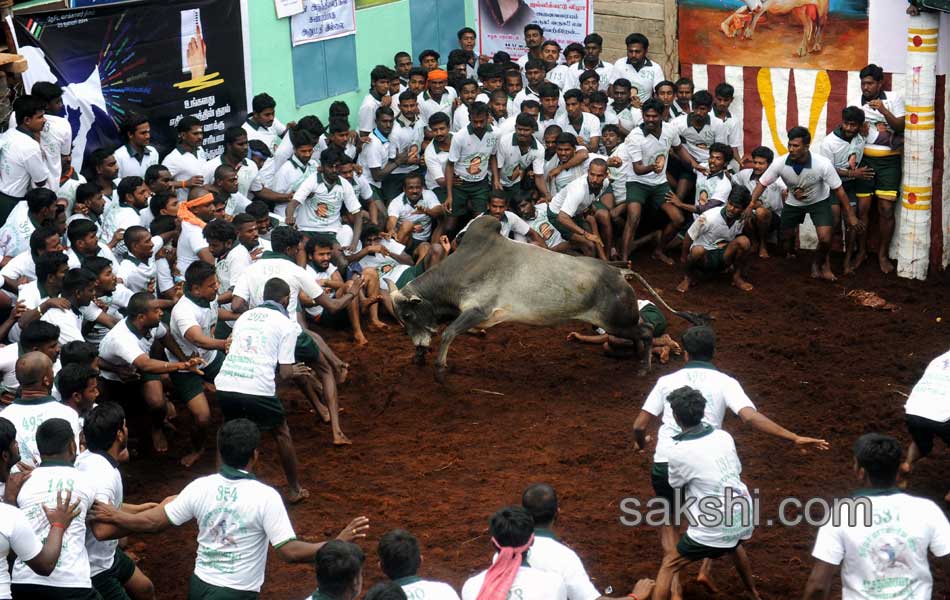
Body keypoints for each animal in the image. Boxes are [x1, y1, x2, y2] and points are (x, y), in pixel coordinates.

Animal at [390, 218, 712, 382]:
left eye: (407, 315)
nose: (418, 344)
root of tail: (620, 271)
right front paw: (421, 356)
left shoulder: (478, 310)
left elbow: (449, 334)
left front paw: (440, 369)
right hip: (622, 319)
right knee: (643, 329)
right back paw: (638, 356)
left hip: (617, 321)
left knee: (645, 331)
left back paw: (645, 366)